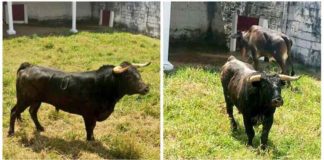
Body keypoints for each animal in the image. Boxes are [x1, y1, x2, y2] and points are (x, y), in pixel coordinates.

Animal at [8, 61, 151, 140]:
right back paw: (11, 132)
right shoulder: (88, 114)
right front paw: (91, 140)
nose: (146, 88)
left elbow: (92, 127)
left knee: (32, 112)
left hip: (36, 100)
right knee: (14, 112)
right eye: (128, 77)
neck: (104, 85)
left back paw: (40, 128)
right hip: (24, 99)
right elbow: (90, 127)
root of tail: (28, 66)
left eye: (139, 74)